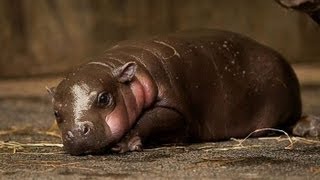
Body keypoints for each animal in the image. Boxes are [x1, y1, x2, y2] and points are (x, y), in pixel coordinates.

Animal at [48, 29, 318, 155]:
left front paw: (124, 145)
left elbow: (152, 118)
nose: (75, 132)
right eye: (56, 113)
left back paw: (309, 127)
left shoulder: (177, 109)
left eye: (104, 98)